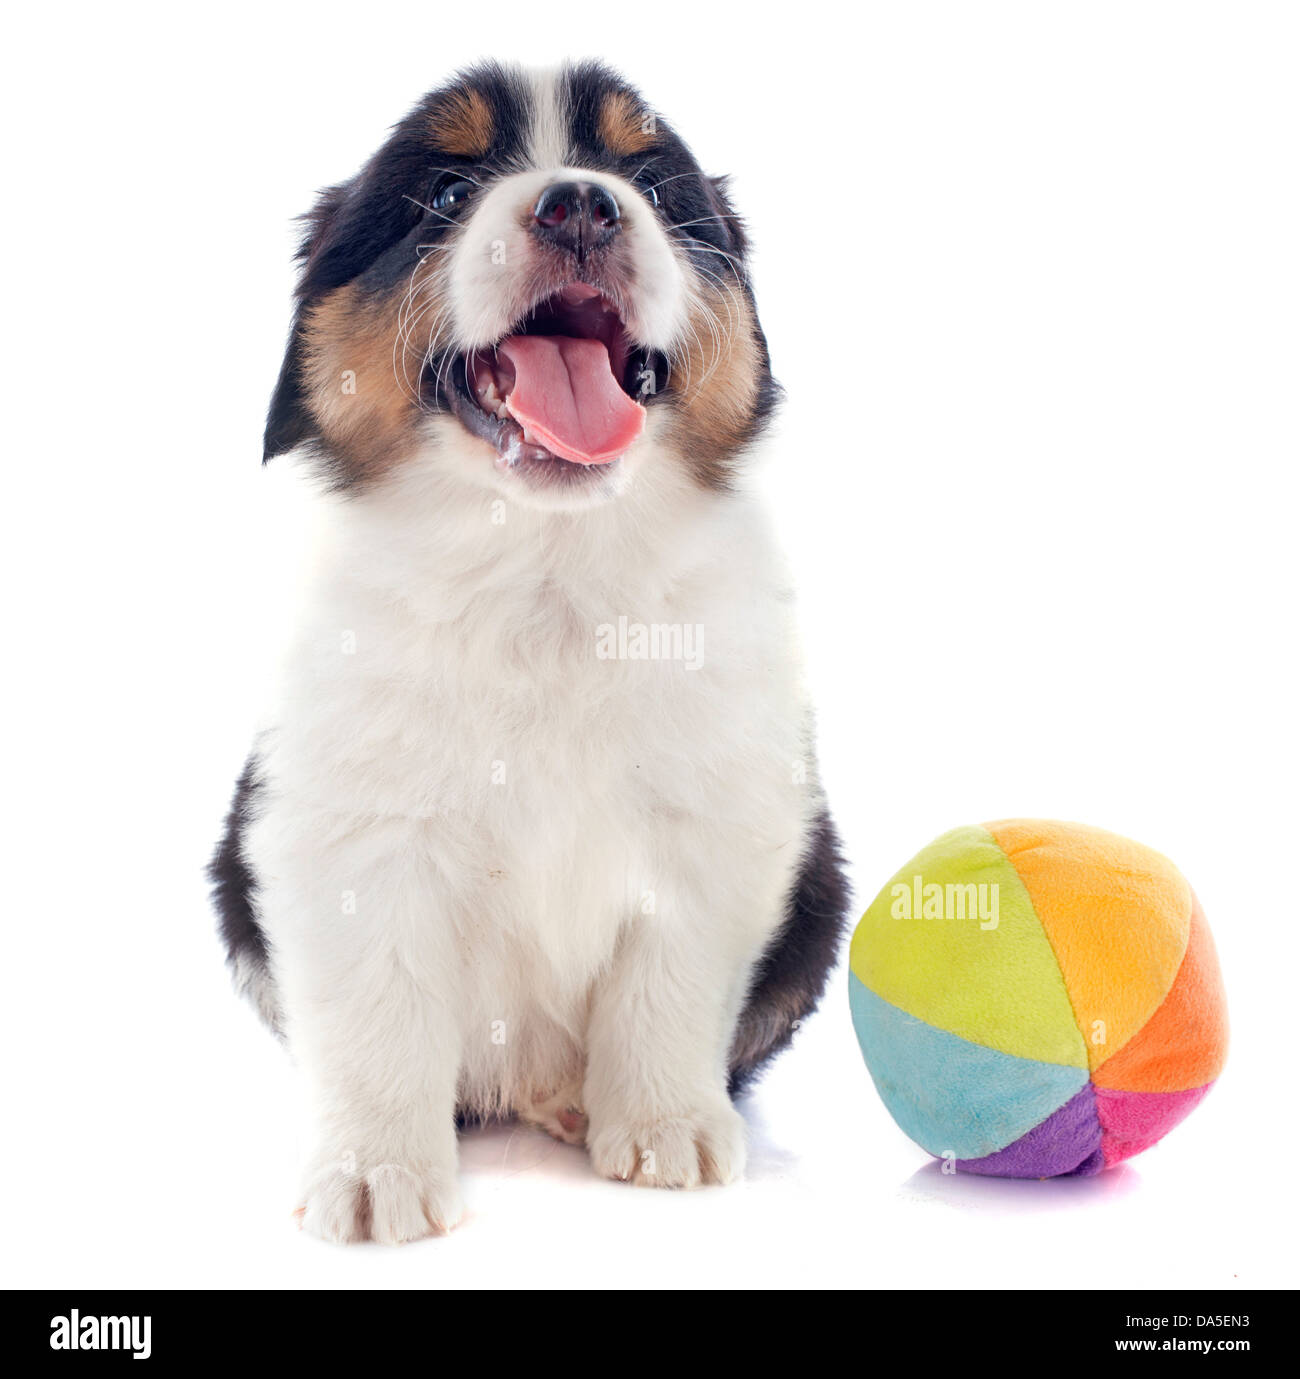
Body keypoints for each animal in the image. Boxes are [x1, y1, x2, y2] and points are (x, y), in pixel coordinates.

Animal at [208, 59, 849, 1246]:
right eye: (445, 194)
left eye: (651, 182)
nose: (582, 204)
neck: (546, 565)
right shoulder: (342, 829)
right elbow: (377, 1007)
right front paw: (375, 1171)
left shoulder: (724, 817)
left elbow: (669, 982)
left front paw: (665, 1125)